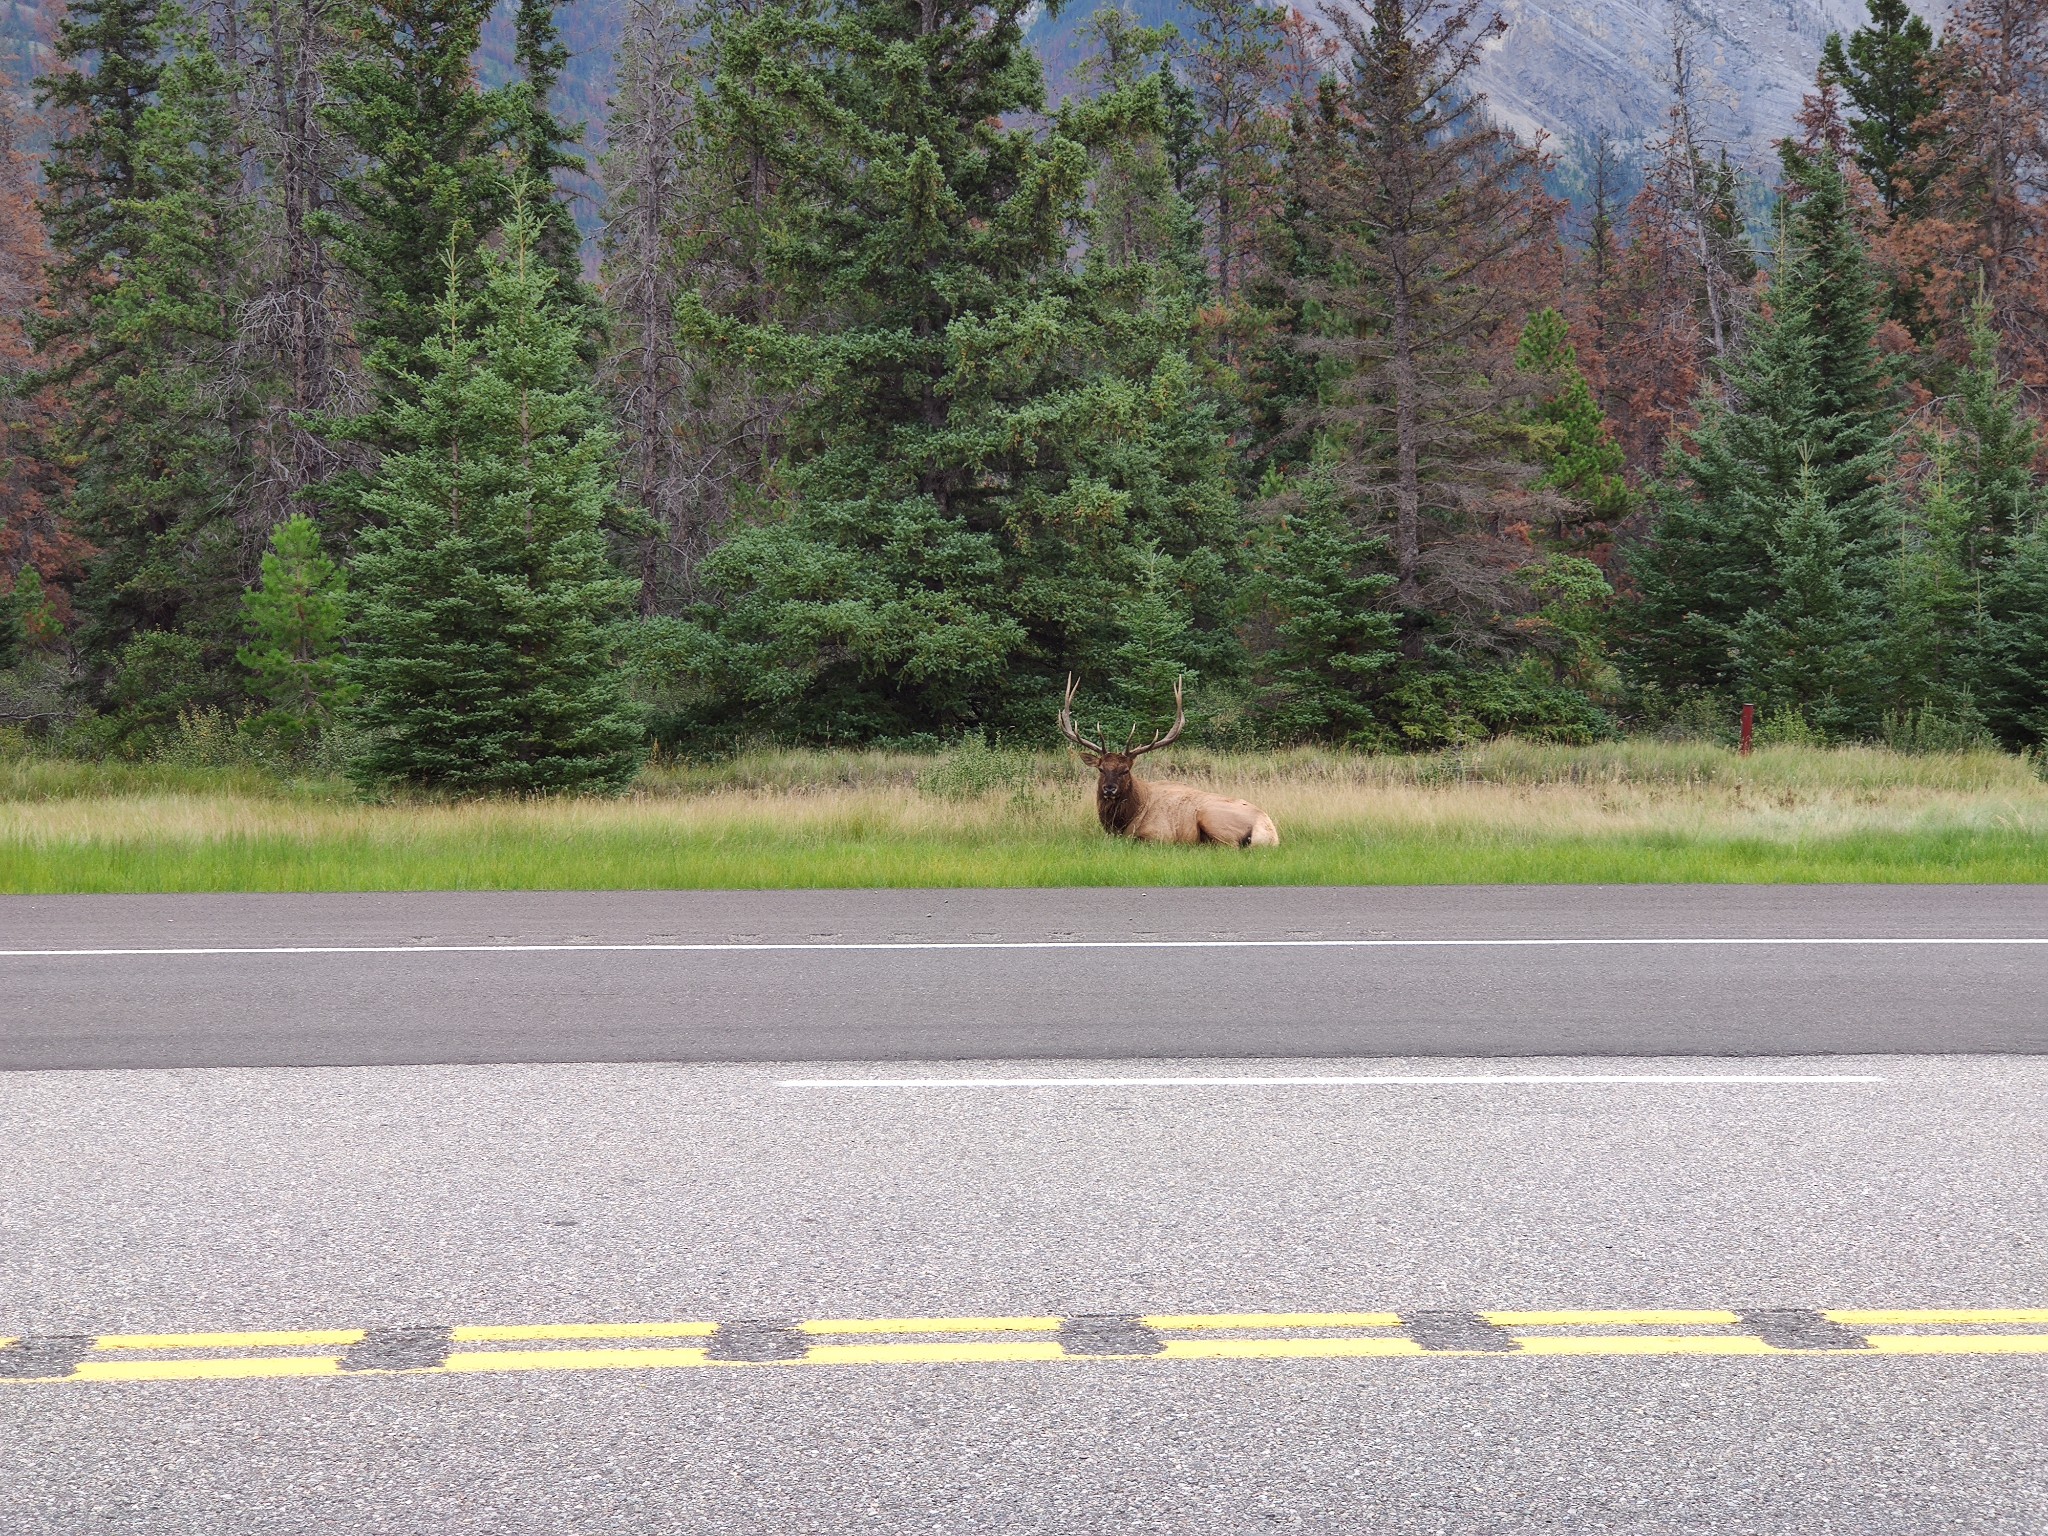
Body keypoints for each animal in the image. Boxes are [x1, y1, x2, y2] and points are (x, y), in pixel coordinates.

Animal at [1064, 675, 1269, 847]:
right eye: (1101, 769)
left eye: (1125, 770)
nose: (1109, 788)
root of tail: (1269, 831)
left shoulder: (1159, 835)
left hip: (1210, 815)